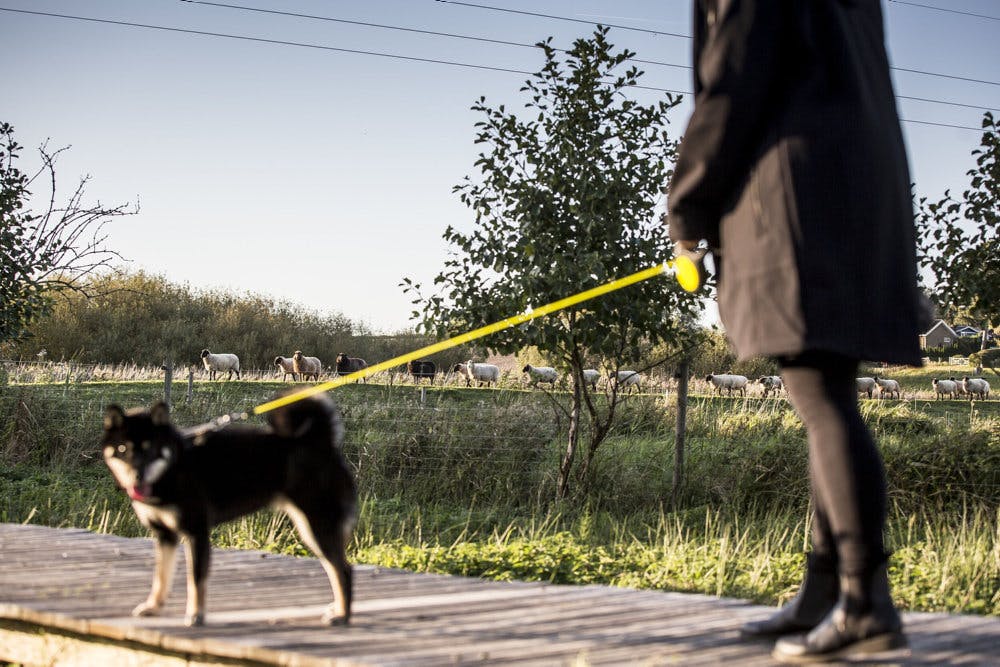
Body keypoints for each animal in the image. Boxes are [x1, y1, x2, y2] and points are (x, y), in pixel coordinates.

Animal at [101, 394, 358, 628]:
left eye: (150, 448)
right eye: (122, 448)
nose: (137, 475)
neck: (175, 466)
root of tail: (321, 442)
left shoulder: (196, 532)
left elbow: (195, 579)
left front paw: (196, 615)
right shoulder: (165, 535)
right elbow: (161, 577)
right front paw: (153, 606)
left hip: (316, 526)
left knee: (343, 570)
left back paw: (342, 615)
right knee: (335, 568)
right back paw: (337, 608)